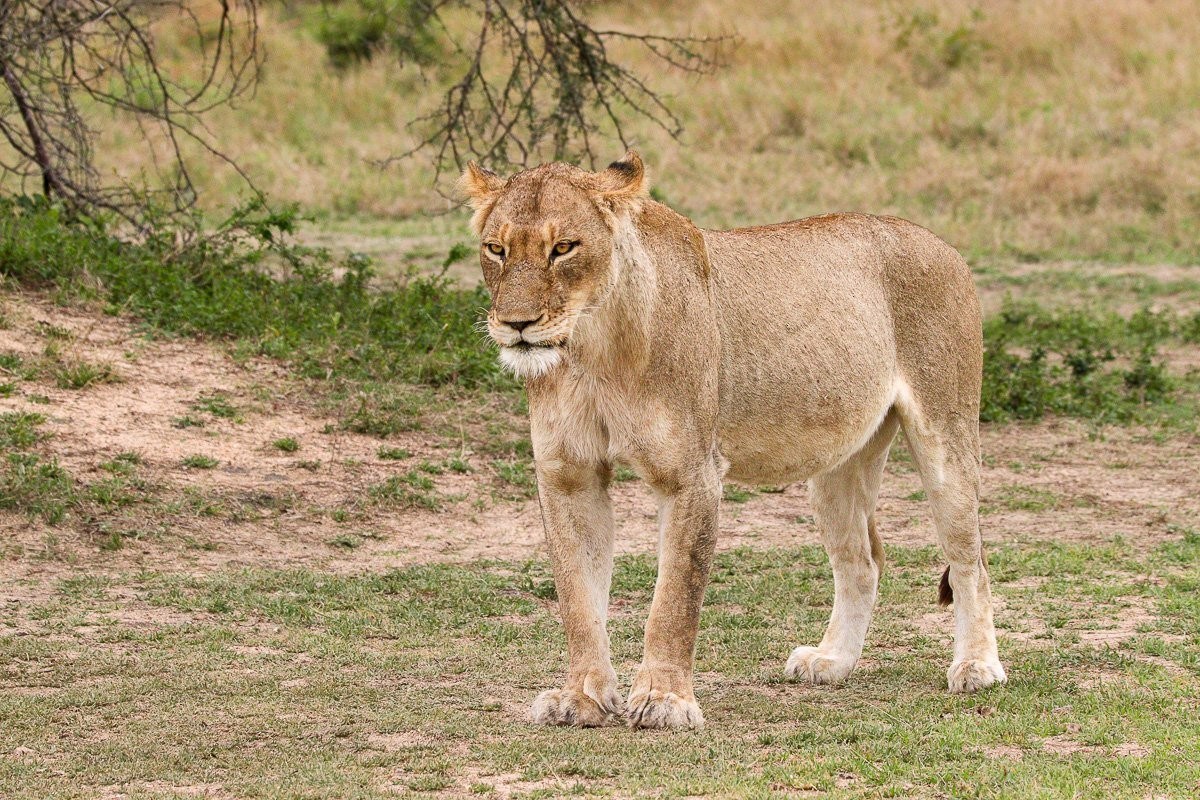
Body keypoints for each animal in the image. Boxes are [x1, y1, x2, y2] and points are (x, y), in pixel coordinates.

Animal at [459, 151, 1006, 730]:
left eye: (563, 248)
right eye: (496, 249)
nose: (517, 324)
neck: (592, 351)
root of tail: (941, 244)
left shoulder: (691, 474)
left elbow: (674, 598)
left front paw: (664, 700)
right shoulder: (569, 477)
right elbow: (578, 598)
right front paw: (580, 697)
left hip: (945, 435)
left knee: (971, 558)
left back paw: (977, 667)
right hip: (837, 465)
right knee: (862, 561)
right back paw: (832, 661)